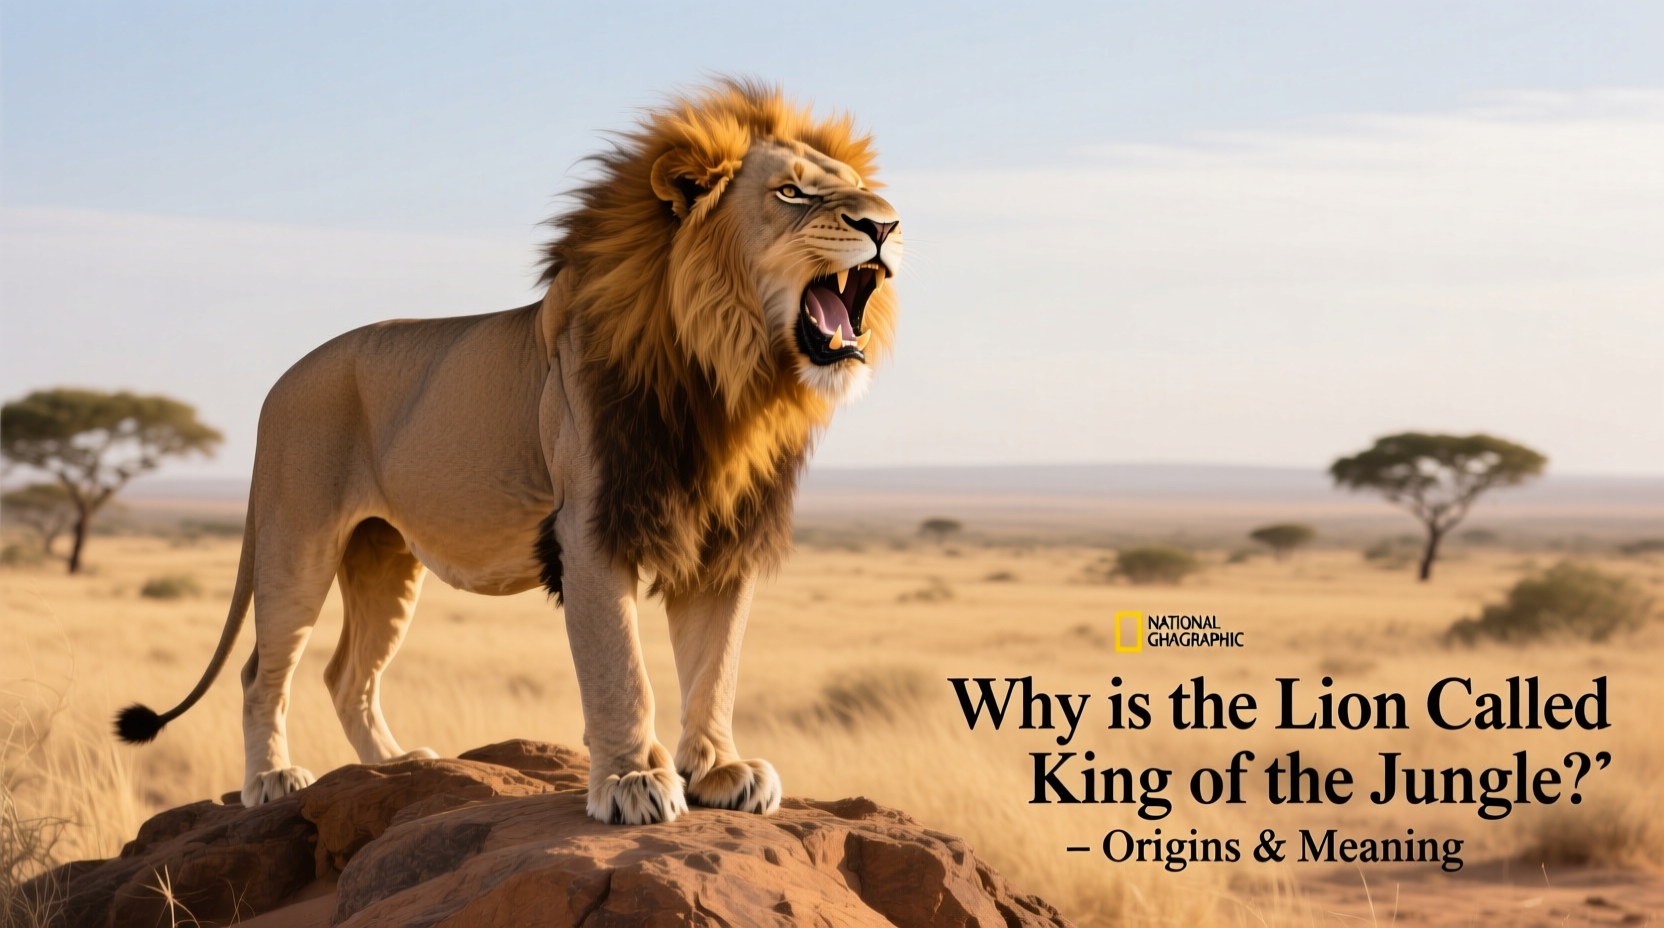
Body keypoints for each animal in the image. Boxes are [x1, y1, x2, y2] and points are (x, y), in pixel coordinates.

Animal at [115, 80, 902, 826]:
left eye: (856, 187)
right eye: (791, 192)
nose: (886, 224)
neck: (727, 380)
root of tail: (279, 383)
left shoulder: (723, 538)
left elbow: (717, 668)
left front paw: (718, 771)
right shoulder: (590, 528)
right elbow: (622, 670)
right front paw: (631, 783)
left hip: (382, 556)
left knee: (347, 674)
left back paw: (398, 767)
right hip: (297, 540)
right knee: (263, 671)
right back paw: (271, 782)